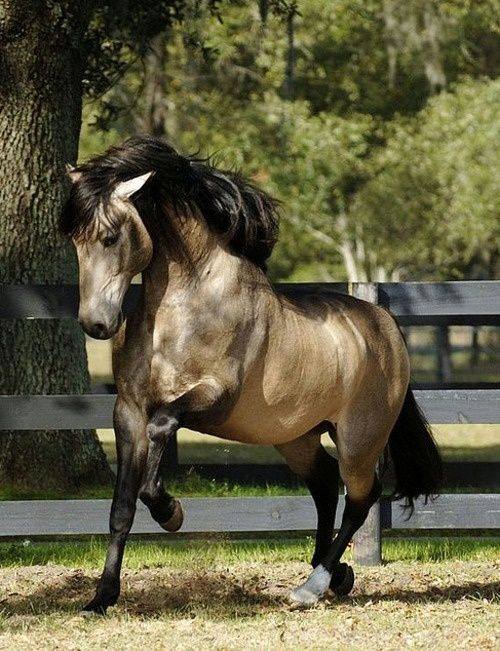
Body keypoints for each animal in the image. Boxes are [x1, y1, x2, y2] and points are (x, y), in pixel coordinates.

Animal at [61, 135, 442, 612]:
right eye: (74, 240)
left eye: (110, 237)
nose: (96, 324)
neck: (185, 308)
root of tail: (386, 328)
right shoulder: (128, 410)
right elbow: (122, 507)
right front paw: (102, 597)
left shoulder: (213, 397)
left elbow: (162, 431)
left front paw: (171, 512)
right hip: (296, 437)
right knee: (325, 484)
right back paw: (336, 574)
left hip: (360, 439)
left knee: (361, 498)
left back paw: (312, 586)